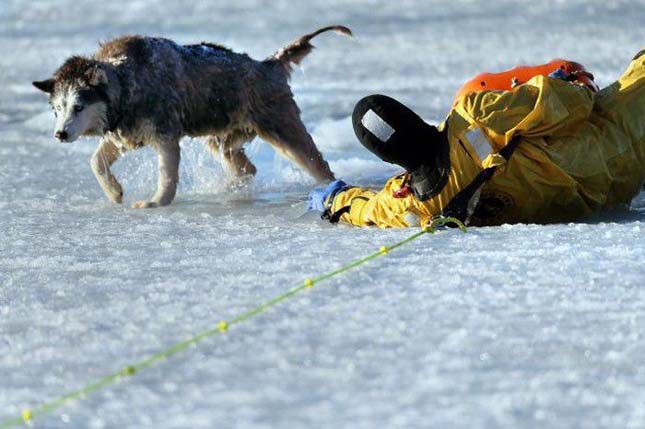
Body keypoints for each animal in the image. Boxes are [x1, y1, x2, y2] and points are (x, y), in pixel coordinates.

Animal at [32, 25, 350, 208]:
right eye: (57, 109)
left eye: (78, 106)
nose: (60, 134)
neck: (126, 83)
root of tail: (268, 63)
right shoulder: (124, 132)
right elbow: (96, 161)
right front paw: (114, 192)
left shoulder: (164, 132)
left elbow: (167, 173)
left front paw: (156, 202)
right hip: (223, 134)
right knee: (246, 168)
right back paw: (230, 187)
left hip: (280, 123)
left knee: (317, 164)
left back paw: (329, 187)